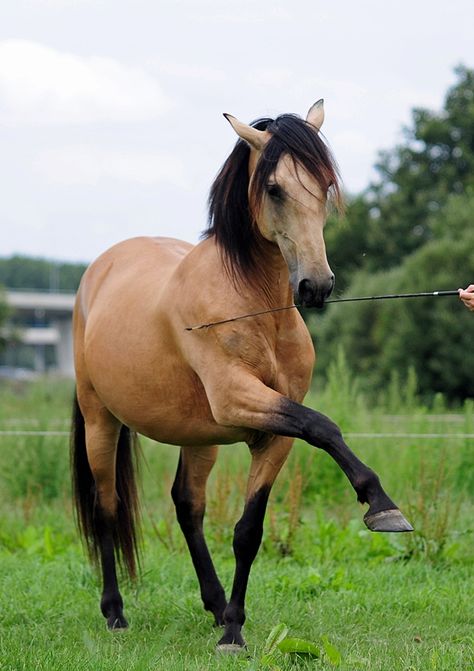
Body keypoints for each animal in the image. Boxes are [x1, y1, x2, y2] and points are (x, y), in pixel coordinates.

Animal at [71, 102, 412, 652]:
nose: (316, 286)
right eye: (274, 187)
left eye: (326, 185)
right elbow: (324, 425)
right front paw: (380, 503)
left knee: (187, 507)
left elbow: (248, 531)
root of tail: (95, 274)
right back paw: (115, 613)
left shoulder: (273, 434)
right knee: (106, 508)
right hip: (101, 421)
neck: (255, 307)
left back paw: (212, 606)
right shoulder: (238, 397)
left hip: (198, 438)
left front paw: (232, 627)